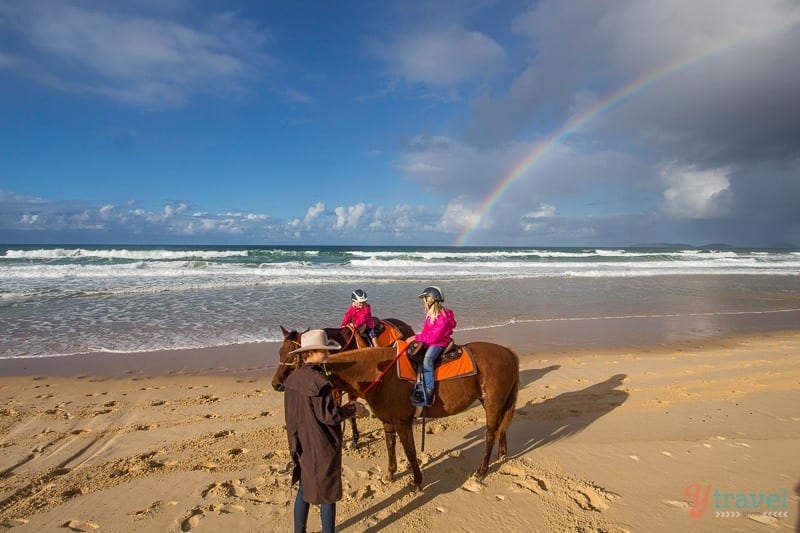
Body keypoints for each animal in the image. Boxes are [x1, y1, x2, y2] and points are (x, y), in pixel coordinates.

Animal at [272, 340, 520, 486]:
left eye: (292, 360)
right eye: (280, 353)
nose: (276, 384)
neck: (379, 373)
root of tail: (508, 352)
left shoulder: (402, 422)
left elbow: (409, 451)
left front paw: (417, 481)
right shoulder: (388, 422)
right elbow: (391, 447)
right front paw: (390, 474)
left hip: (492, 404)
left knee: (490, 434)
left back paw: (481, 470)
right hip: (499, 404)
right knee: (501, 429)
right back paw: (502, 454)